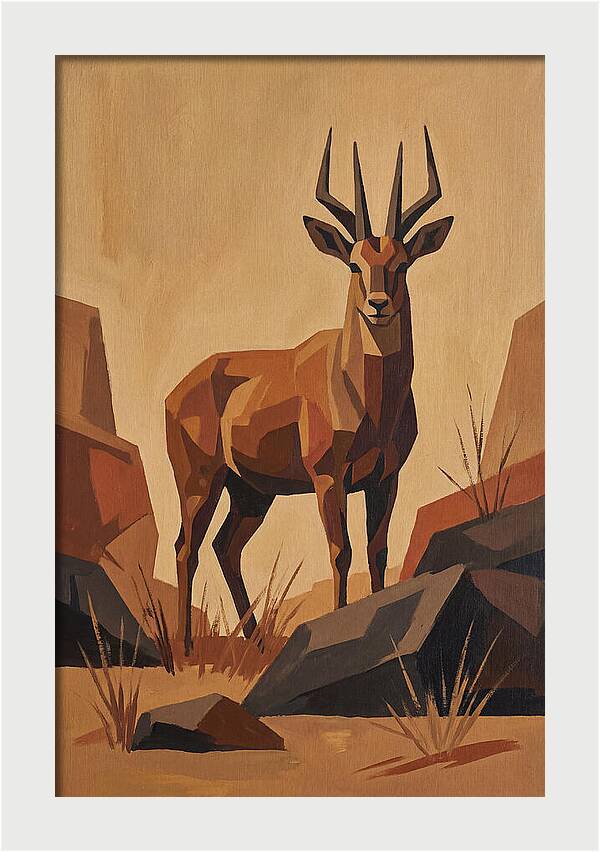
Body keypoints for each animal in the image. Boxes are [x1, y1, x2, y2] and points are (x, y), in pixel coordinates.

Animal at [166, 127, 453, 654]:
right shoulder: (328, 477)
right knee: (185, 547)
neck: (366, 397)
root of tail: (179, 388)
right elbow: (341, 552)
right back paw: (185, 651)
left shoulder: (385, 478)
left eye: (402, 263)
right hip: (200, 481)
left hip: (251, 492)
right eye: (354, 264)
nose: (378, 305)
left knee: (224, 546)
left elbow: (377, 552)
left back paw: (259, 644)